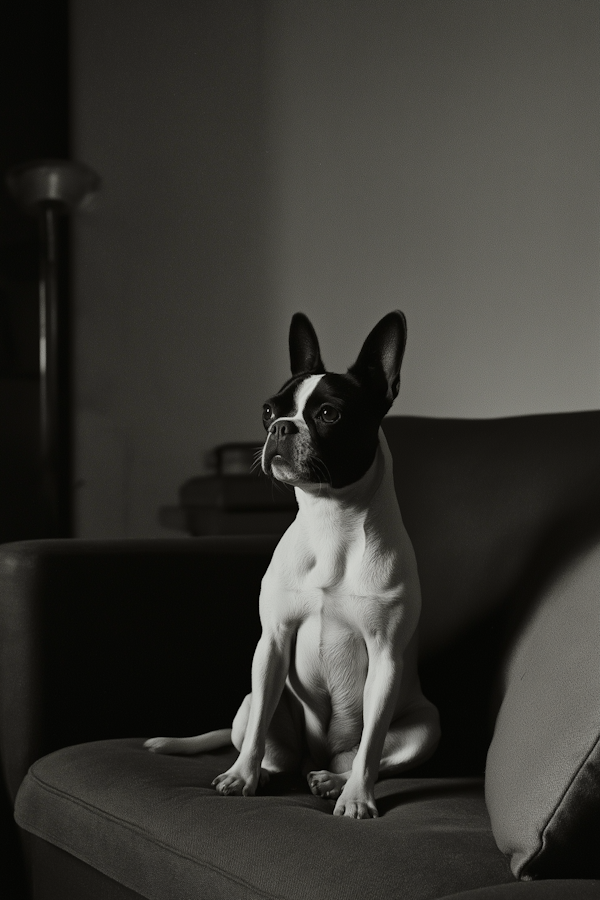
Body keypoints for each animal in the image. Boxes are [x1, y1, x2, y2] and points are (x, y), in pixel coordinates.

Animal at [145, 312, 436, 820]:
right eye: (267, 410)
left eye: (329, 414)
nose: (281, 427)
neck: (331, 520)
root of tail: (311, 757)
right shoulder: (273, 642)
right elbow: (260, 725)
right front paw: (241, 777)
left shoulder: (385, 660)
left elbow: (371, 746)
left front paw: (357, 799)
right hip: (251, 703)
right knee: (268, 744)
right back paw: (262, 772)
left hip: (424, 726)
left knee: (363, 757)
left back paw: (333, 782)